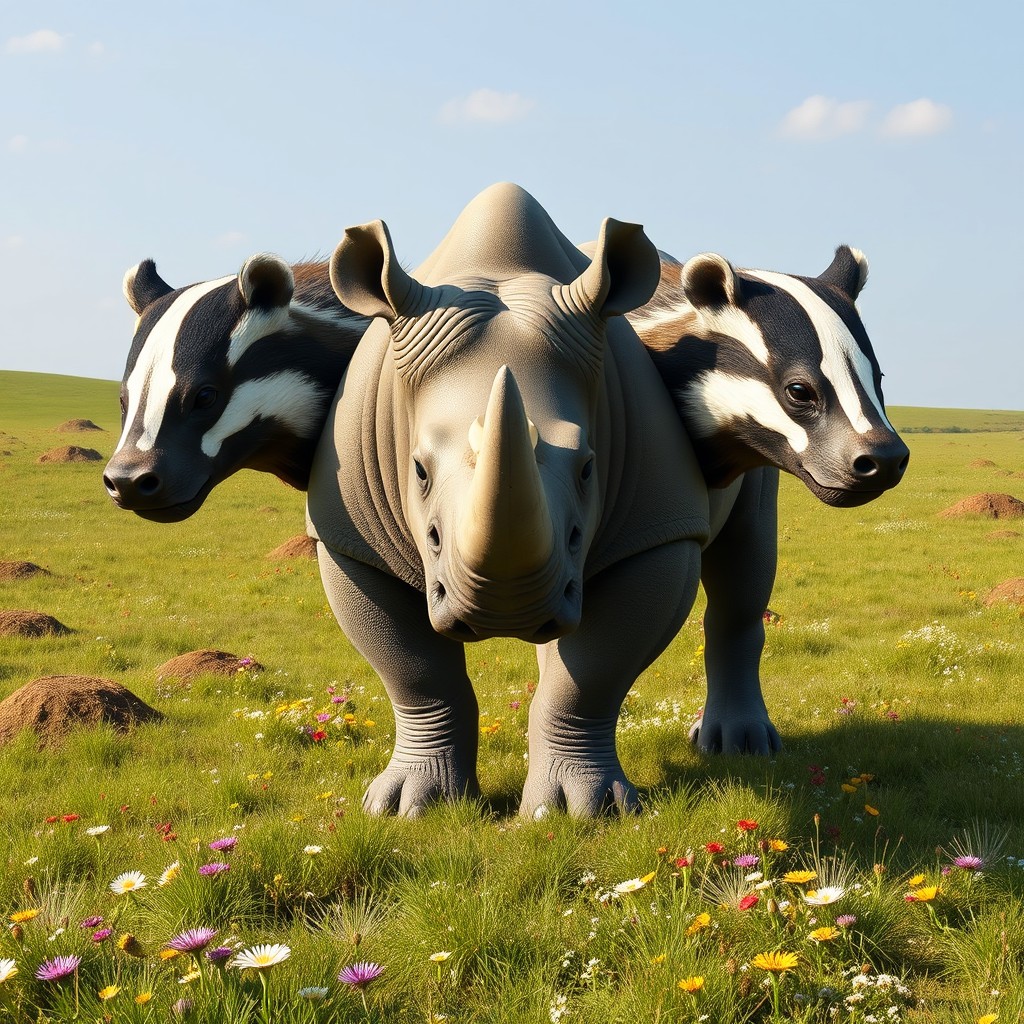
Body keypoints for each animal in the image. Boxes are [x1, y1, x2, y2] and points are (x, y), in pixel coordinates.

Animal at [306, 182, 709, 817]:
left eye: (590, 468)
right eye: (417, 471)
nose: (506, 615)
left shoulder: (658, 529)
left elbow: (595, 675)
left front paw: (579, 812)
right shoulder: (350, 532)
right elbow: (414, 671)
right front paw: (408, 808)